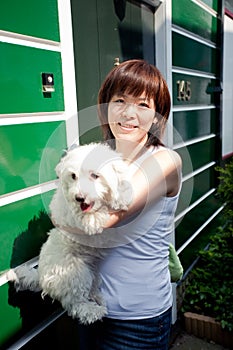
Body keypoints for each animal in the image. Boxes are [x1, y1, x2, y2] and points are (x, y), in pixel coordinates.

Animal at [7, 144, 131, 324]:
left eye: (95, 175)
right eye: (73, 176)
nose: (79, 197)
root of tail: (41, 277)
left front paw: (122, 195)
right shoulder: (69, 213)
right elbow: (86, 218)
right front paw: (95, 218)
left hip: (91, 271)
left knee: (90, 290)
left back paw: (98, 297)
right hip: (75, 272)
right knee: (74, 303)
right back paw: (92, 311)